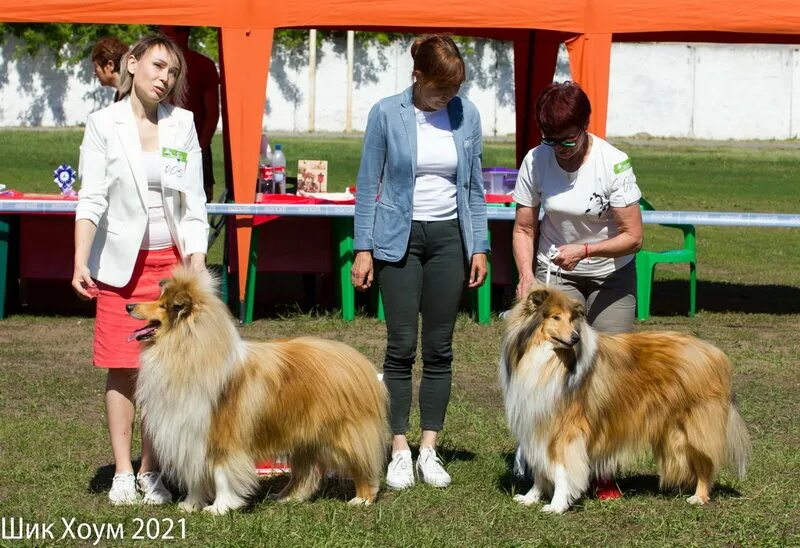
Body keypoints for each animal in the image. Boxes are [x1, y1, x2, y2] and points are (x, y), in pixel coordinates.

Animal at [127, 268, 388, 516]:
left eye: (163, 305)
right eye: (158, 298)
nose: (129, 306)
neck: (183, 347)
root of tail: (357, 360)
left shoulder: (223, 434)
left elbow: (221, 474)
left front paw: (220, 507)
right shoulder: (192, 437)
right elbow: (197, 477)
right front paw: (191, 505)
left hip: (343, 433)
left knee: (363, 464)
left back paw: (362, 498)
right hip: (303, 435)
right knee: (307, 471)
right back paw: (287, 497)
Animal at [500, 286, 752, 512]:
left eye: (572, 319)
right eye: (556, 317)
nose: (575, 338)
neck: (546, 358)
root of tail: (714, 352)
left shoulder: (566, 429)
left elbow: (562, 470)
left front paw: (557, 505)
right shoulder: (539, 424)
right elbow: (541, 468)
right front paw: (531, 497)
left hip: (695, 425)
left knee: (705, 462)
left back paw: (699, 497)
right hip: (675, 431)